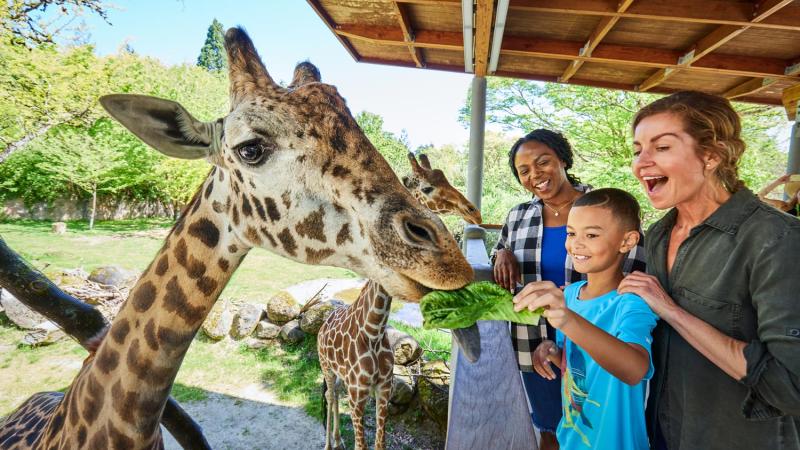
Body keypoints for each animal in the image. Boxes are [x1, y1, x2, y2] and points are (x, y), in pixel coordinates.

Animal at [318, 153, 482, 448]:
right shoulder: (358, 394)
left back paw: (337, 438)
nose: (473, 211)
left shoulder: (383, 390)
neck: (373, 328)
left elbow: (379, 443)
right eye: (428, 187)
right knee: (330, 395)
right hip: (326, 365)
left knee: (333, 394)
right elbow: (362, 444)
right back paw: (329, 442)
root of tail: (323, 324)